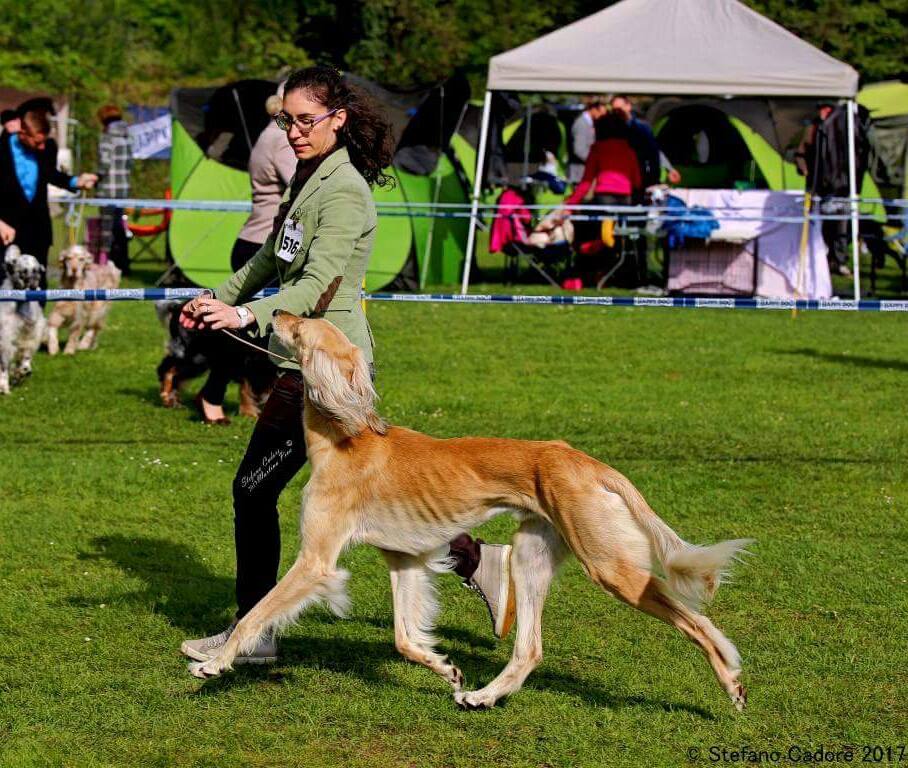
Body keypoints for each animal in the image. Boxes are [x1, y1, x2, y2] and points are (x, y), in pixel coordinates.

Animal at [0, 246, 46, 396]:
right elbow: (4, 366)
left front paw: (23, 370)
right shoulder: (5, 338)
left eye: (37, 271)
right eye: (23, 272)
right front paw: (4, 387)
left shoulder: (30, 332)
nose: (33, 288)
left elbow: (26, 355)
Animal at [190, 314, 752, 712]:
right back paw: (483, 695)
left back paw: (731, 681)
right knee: (529, 649)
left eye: (302, 325)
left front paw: (216, 664)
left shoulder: (316, 561)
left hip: (611, 566)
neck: (345, 439)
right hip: (531, 555)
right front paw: (446, 669)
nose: (275, 310)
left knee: (697, 621)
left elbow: (257, 613)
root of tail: (584, 460)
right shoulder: (405, 559)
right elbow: (403, 638)